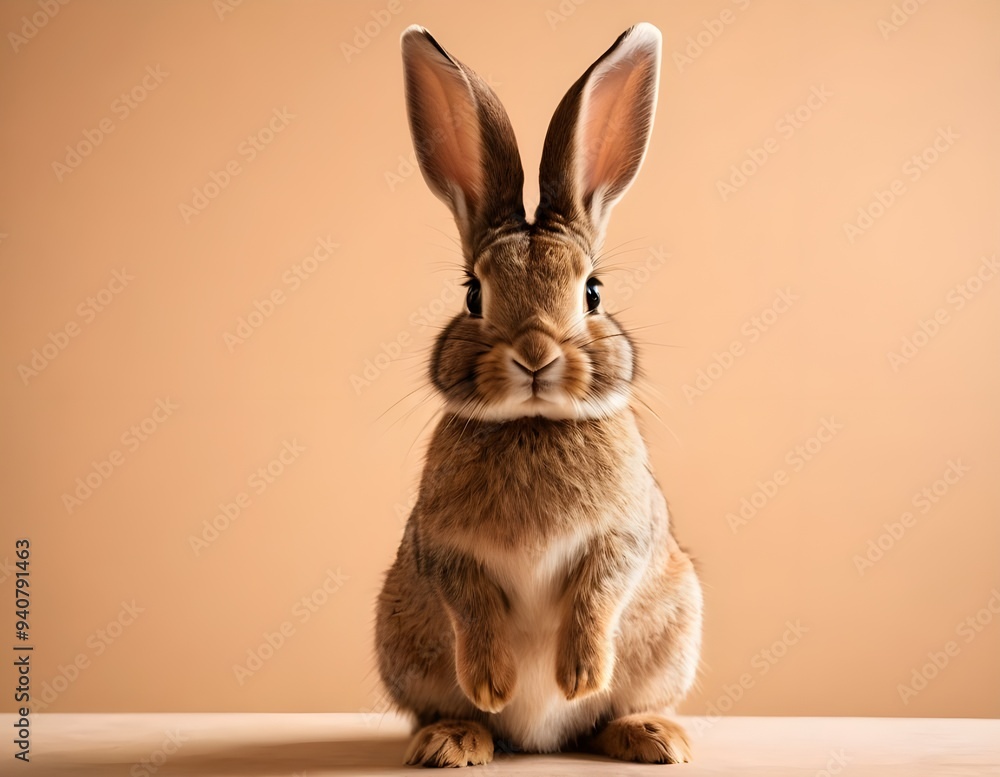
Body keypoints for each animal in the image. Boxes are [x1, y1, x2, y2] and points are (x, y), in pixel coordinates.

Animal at [375, 22, 703, 767]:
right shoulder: (447, 551)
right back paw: (455, 739)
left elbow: (600, 590)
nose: (534, 354)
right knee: (447, 711)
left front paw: (576, 674)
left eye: (593, 292)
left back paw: (652, 736)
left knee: (610, 714)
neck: (531, 421)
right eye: (473, 293)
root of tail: (538, 742)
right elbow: (471, 604)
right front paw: (495, 684)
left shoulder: (622, 537)